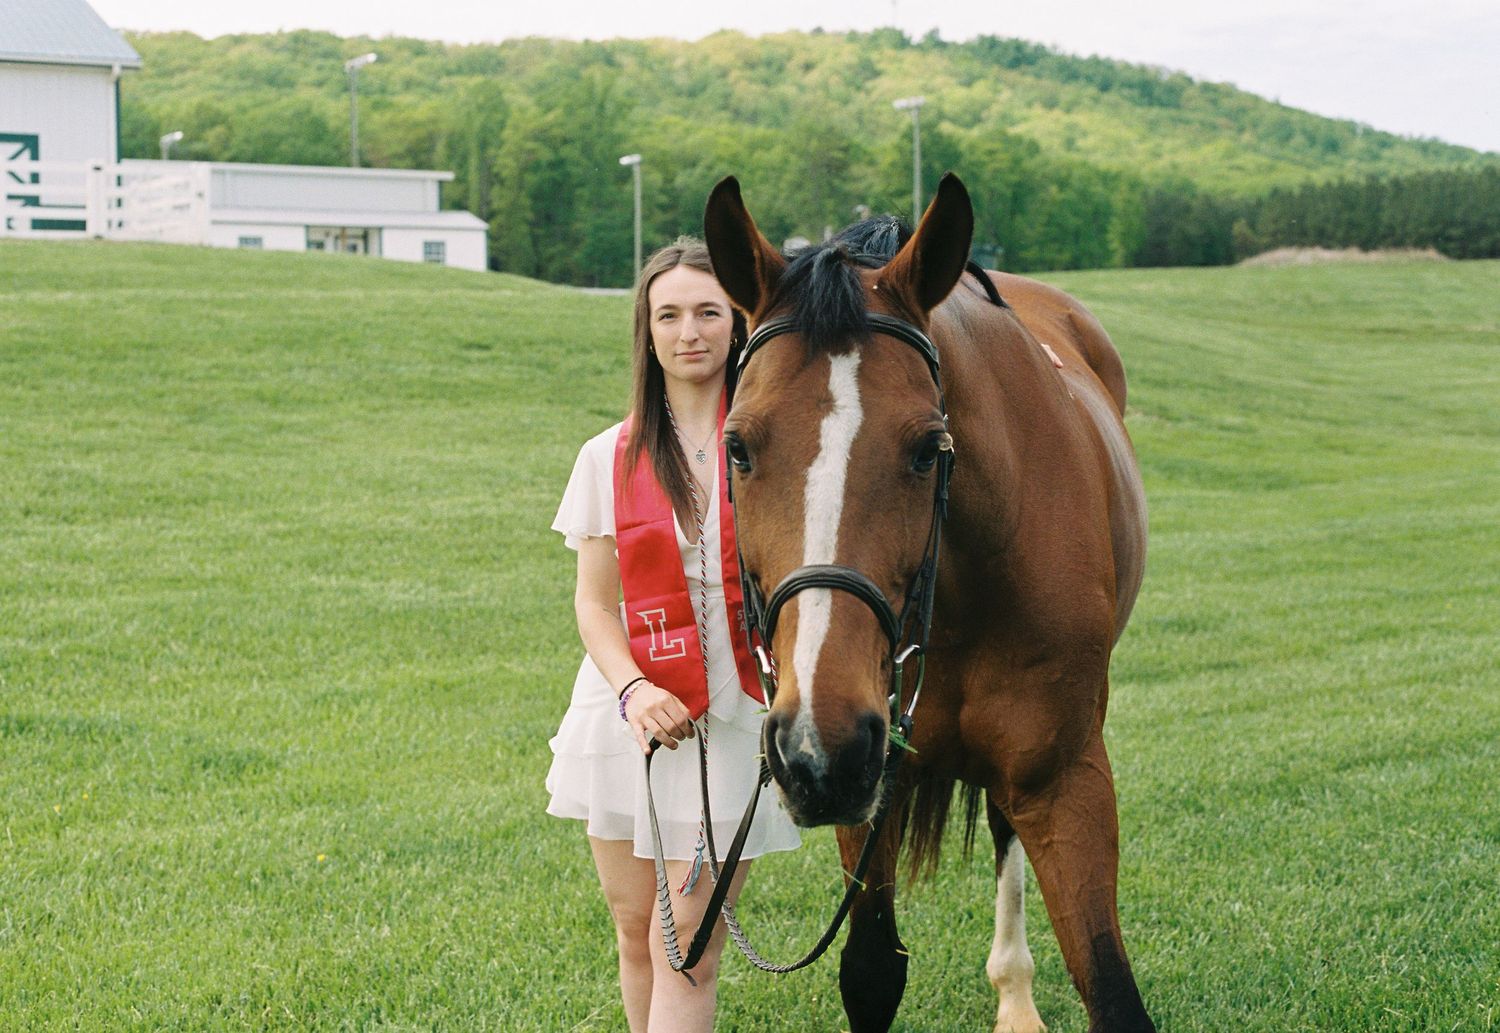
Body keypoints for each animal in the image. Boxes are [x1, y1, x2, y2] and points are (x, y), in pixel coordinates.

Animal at [703, 173, 1153, 1033]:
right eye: (737, 445)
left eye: (927, 448)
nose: (820, 745)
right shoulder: (868, 785)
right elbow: (872, 971)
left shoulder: (1066, 776)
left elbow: (1111, 989)